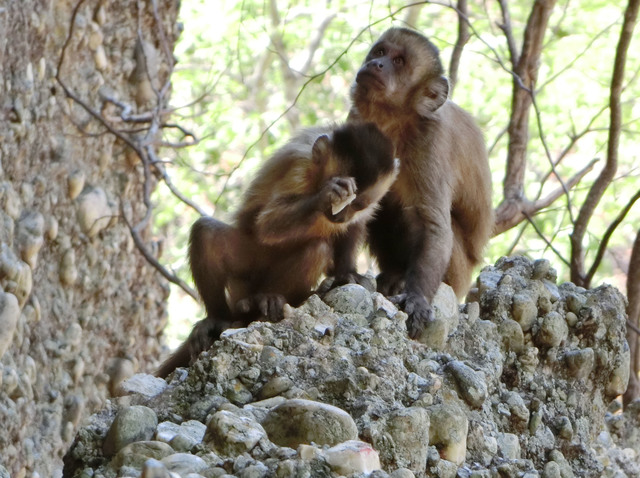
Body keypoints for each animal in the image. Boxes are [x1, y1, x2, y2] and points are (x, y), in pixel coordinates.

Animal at [156, 122, 398, 377]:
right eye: (341, 199)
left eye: (358, 204)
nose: (340, 215)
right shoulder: (299, 165)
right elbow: (267, 224)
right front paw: (325, 195)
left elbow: (354, 227)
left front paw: (347, 273)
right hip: (246, 271)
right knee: (207, 232)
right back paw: (220, 318)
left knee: (316, 249)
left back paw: (273, 299)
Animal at [347, 27, 493, 339]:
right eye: (380, 52)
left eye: (399, 62)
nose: (377, 64)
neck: (395, 124)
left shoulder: (429, 142)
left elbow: (433, 224)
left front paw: (417, 298)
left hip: (459, 274)